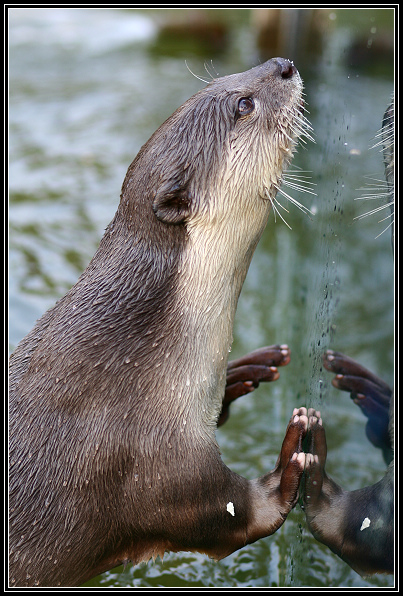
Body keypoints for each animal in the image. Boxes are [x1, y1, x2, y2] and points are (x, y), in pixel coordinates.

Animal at [9, 57, 312, 588]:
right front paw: (290, 462)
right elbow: (231, 514)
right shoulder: (151, 460)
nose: (284, 64)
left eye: (224, 80)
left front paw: (241, 374)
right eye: (243, 104)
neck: (135, 356)